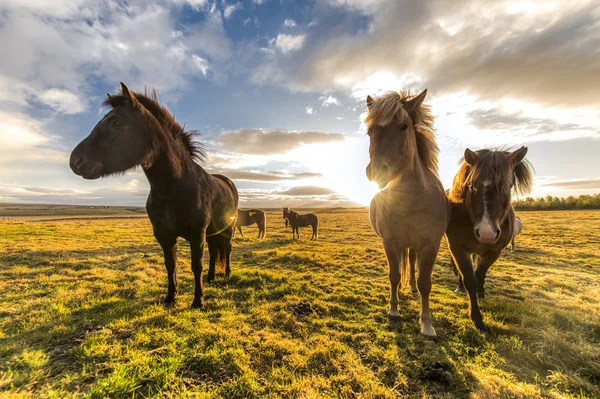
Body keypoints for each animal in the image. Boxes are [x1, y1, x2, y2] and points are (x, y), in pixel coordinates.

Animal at [69, 83, 238, 310]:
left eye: (117, 123)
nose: (75, 161)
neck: (173, 187)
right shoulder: (164, 235)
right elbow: (170, 265)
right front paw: (171, 297)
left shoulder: (197, 234)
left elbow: (196, 265)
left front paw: (198, 301)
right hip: (212, 232)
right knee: (214, 251)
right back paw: (212, 277)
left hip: (228, 228)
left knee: (227, 249)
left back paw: (226, 273)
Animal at [364, 90, 448, 338]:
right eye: (370, 132)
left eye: (403, 126)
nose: (376, 171)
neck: (412, 199)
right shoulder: (390, 241)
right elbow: (393, 275)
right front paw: (393, 309)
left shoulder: (431, 245)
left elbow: (425, 283)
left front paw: (427, 324)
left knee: (411, 264)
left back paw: (410, 285)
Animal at [446, 147, 536, 332]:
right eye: (471, 185)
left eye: (509, 185)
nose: (487, 233)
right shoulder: (458, 248)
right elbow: (469, 279)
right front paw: (477, 319)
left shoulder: (494, 251)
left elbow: (479, 275)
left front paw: (479, 295)